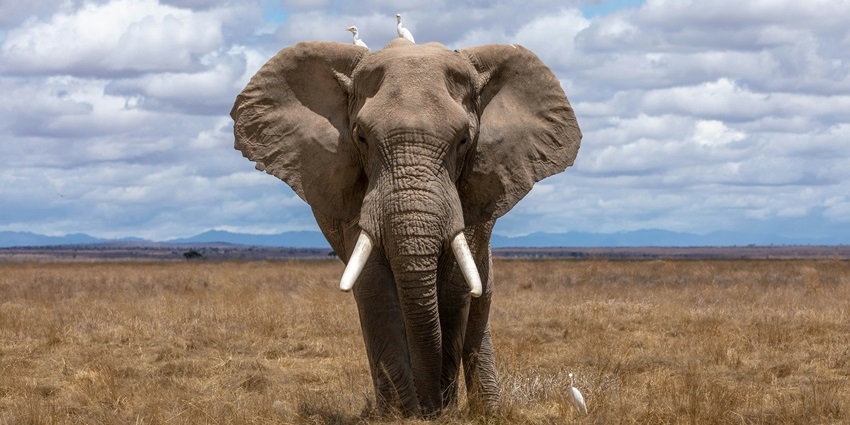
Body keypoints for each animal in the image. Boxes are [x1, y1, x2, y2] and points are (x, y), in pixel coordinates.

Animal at [230, 38, 581, 417]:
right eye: (361, 138)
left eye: (463, 140)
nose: (430, 408)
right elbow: (375, 288)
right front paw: (403, 415)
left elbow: (455, 289)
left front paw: (439, 411)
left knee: (480, 299)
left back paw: (487, 412)